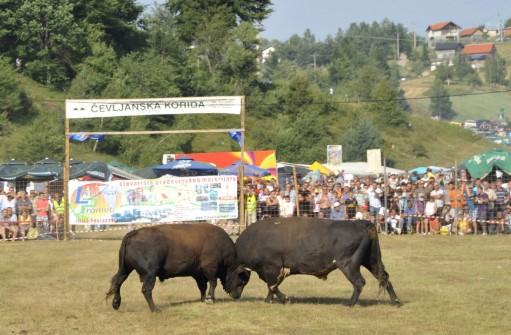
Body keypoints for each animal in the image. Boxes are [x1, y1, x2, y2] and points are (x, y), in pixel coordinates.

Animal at [235, 218, 400, 308]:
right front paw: (268, 300)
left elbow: (273, 286)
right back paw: (396, 301)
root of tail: (362, 223)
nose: (235, 296)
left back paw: (350, 303)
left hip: (348, 264)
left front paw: (285, 299)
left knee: (359, 282)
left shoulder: (272, 268)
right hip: (371, 261)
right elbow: (272, 286)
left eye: (240, 279)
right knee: (384, 277)